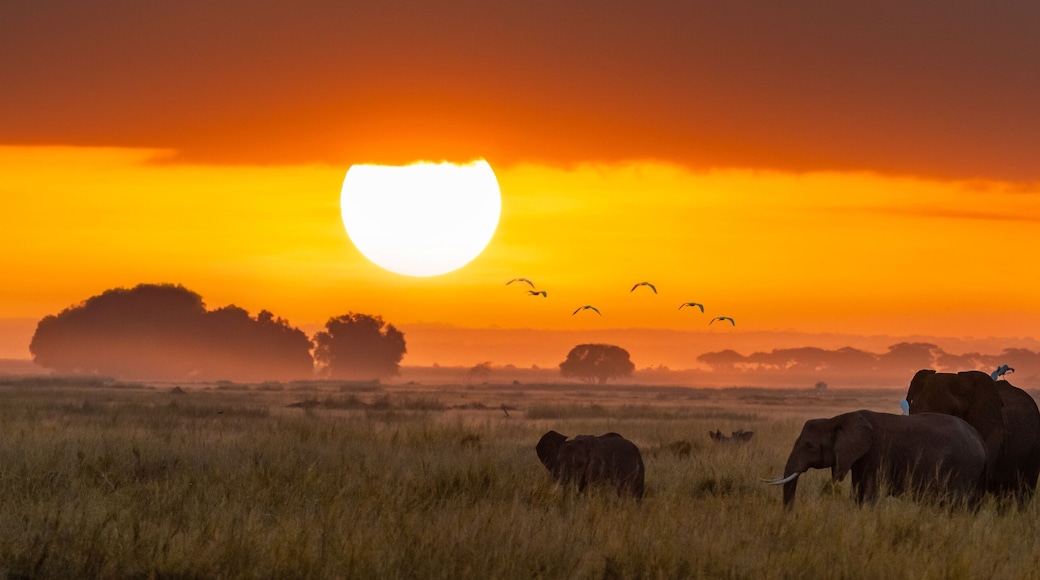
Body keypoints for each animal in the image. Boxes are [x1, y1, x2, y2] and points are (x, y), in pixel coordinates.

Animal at [766, 410, 986, 507]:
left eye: (809, 446)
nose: (790, 515)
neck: (839, 418)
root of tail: (979, 439)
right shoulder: (859, 458)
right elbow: (858, 492)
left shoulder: (877, 453)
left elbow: (871, 493)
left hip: (962, 468)